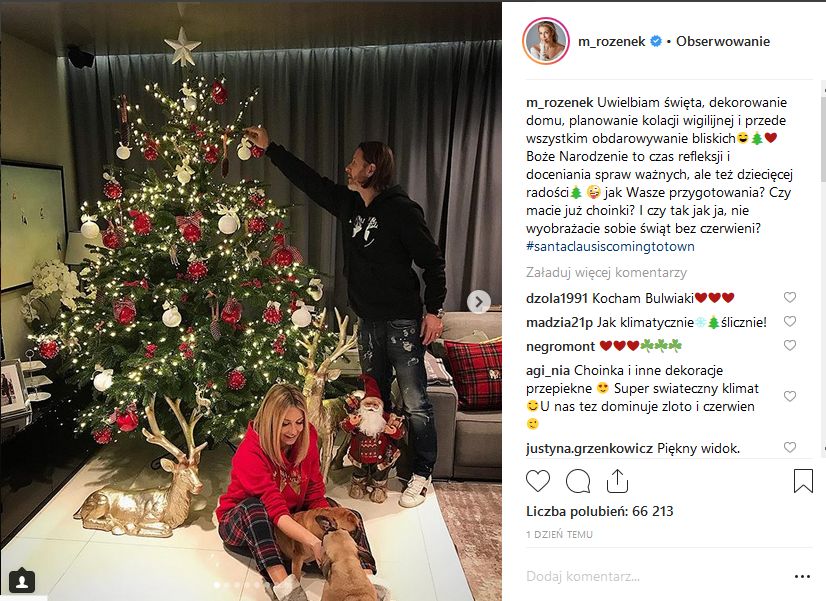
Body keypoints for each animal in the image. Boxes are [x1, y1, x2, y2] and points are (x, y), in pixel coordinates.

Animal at [73, 391, 210, 538]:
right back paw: (115, 526)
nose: (199, 486)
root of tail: (82, 505)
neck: (170, 511)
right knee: (86, 520)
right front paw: (133, 528)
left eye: (196, 469)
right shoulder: (147, 517)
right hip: (101, 502)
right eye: (182, 473)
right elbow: (166, 529)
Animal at [299, 308, 359, 482]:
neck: (319, 418)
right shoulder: (316, 435)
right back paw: (337, 463)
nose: (305, 390)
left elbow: (325, 458)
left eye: (320, 381)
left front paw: (324, 481)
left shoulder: (329, 432)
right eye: (306, 377)